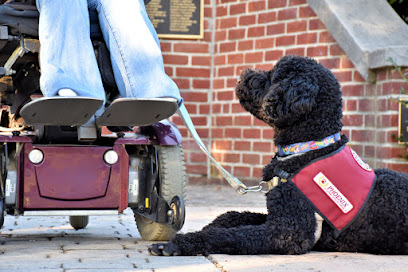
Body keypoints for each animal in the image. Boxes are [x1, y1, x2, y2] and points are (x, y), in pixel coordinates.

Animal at [149, 55, 408, 258]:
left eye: (272, 77)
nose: (242, 75)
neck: (307, 148)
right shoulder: (276, 214)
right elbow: (234, 215)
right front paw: (207, 226)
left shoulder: (288, 232)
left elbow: (230, 235)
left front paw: (181, 243)